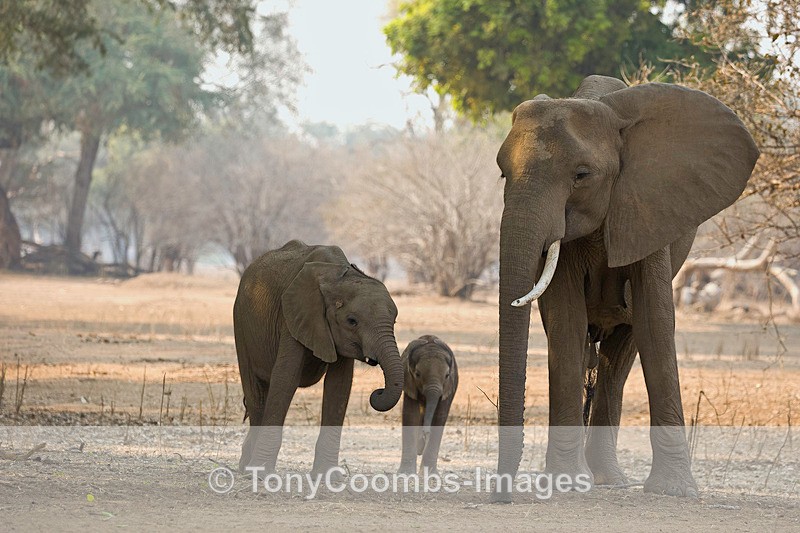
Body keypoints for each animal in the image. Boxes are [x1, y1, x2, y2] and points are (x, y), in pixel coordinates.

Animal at [234, 240, 404, 476]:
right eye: (352, 321)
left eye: (394, 322)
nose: (376, 392)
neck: (335, 275)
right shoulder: (293, 316)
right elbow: (286, 377)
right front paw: (263, 473)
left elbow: (339, 385)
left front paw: (328, 476)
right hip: (240, 322)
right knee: (255, 390)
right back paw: (249, 469)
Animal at [398, 335, 459, 474]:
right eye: (417, 374)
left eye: (447, 375)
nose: (426, 433)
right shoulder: (409, 384)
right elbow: (411, 415)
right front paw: (406, 474)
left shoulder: (448, 388)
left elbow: (440, 417)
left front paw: (430, 475)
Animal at [492, 75, 759, 501]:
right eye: (503, 173)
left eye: (582, 175)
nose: (501, 495)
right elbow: (566, 324)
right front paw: (568, 484)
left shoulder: (649, 211)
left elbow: (654, 322)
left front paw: (674, 491)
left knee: (619, 357)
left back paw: (607, 479)